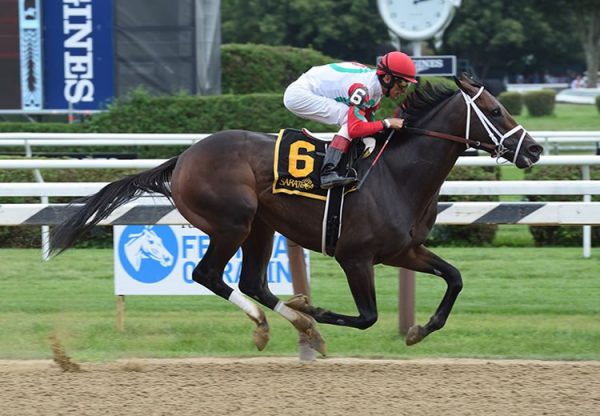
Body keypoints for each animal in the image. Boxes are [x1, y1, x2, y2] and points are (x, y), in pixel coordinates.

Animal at [49, 74, 540, 354]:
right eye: (495, 110)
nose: (533, 149)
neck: (396, 175)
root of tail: (183, 157)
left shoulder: (404, 251)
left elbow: (454, 278)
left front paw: (419, 329)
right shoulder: (355, 257)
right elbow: (367, 316)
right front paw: (317, 309)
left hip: (261, 227)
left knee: (252, 282)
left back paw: (295, 322)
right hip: (233, 221)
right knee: (208, 275)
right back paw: (280, 322)